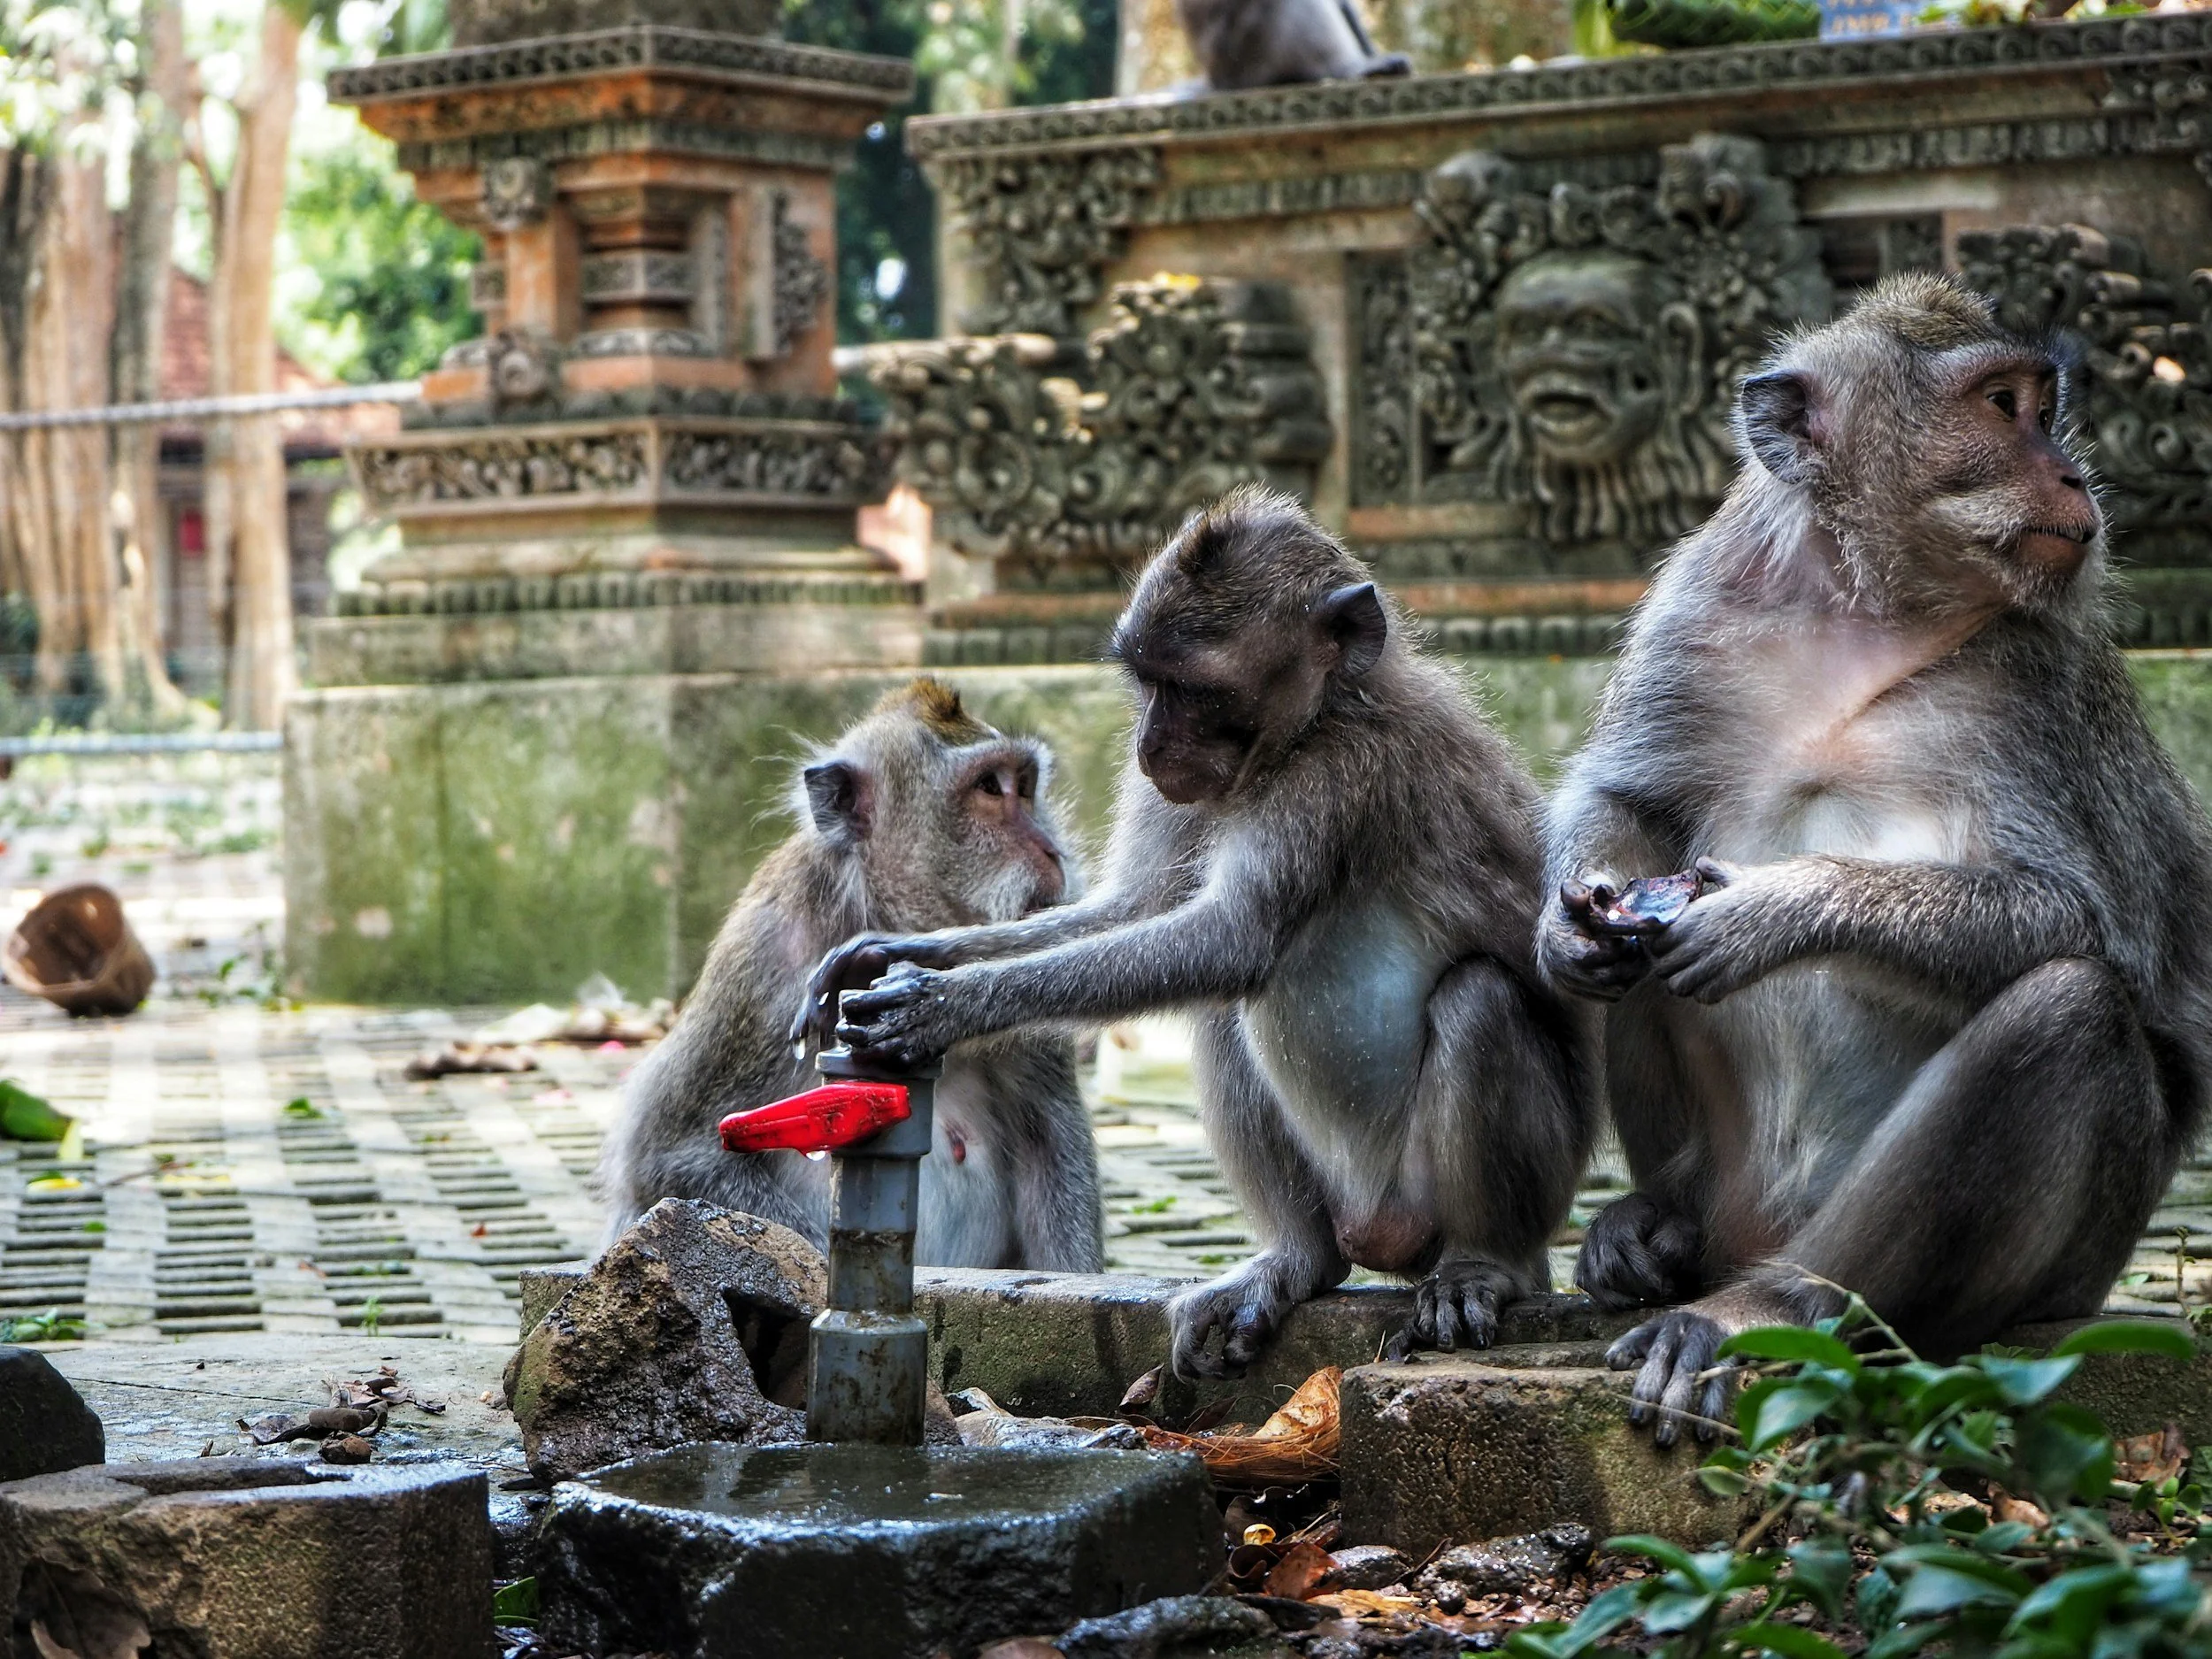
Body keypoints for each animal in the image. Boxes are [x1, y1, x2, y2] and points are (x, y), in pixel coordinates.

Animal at [595, 679, 1105, 1274]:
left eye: (1024, 789)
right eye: (988, 787)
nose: (1052, 849)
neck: (877, 910)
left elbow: (1050, 1146)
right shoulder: (761, 968)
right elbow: (672, 1156)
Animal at [797, 487, 1597, 1380]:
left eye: (1193, 689)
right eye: (1146, 683)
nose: (1148, 745)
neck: (1314, 724)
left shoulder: (1340, 776)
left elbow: (1229, 940)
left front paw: (945, 1003)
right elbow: (1137, 910)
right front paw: (898, 953)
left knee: (1476, 1000)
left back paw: (1484, 1262)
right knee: (1220, 1016)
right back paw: (1298, 1260)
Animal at [1536, 271, 2212, 1445]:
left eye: (2042, 407)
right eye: (2002, 406)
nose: (2071, 473)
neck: (1868, 610)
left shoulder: (2040, 689)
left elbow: (2082, 920)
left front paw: (1772, 912)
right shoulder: (1696, 609)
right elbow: (1628, 801)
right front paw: (1567, 929)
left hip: (2053, 1279)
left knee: (2068, 1011)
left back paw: (1764, 1306)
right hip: (1728, 1179)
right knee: (1642, 956)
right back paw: (1657, 1227)